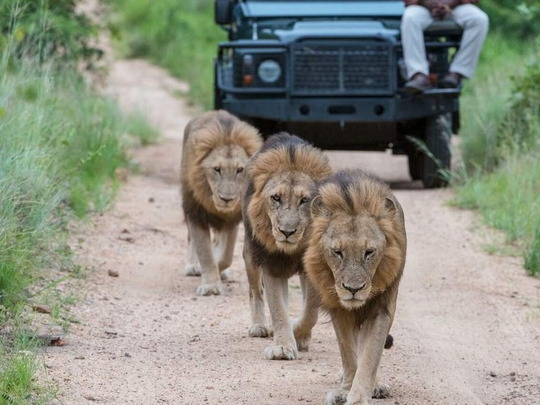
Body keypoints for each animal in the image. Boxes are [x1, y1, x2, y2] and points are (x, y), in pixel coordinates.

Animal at [181, 109, 264, 296]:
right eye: (216, 169)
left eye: (240, 170)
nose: (227, 199)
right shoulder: (196, 213)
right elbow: (205, 252)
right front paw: (211, 285)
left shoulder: (232, 219)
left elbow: (227, 255)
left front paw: (219, 267)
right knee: (190, 238)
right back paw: (192, 266)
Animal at [242, 133, 332, 360]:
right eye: (276, 198)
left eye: (304, 200)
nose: (287, 231)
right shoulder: (270, 265)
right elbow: (278, 310)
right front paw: (283, 347)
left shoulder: (311, 267)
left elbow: (310, 311)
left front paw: (299, 335)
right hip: (250, 255)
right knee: (255, 290)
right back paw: (259, 326)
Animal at [304, 169, 404, 404]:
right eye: (337, 252)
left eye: (369, 252)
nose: (353, 289)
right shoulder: (338, 308)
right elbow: (348, 353)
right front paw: (345, 390)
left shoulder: (381, 309)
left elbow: (370, 355)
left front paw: (358, 396)